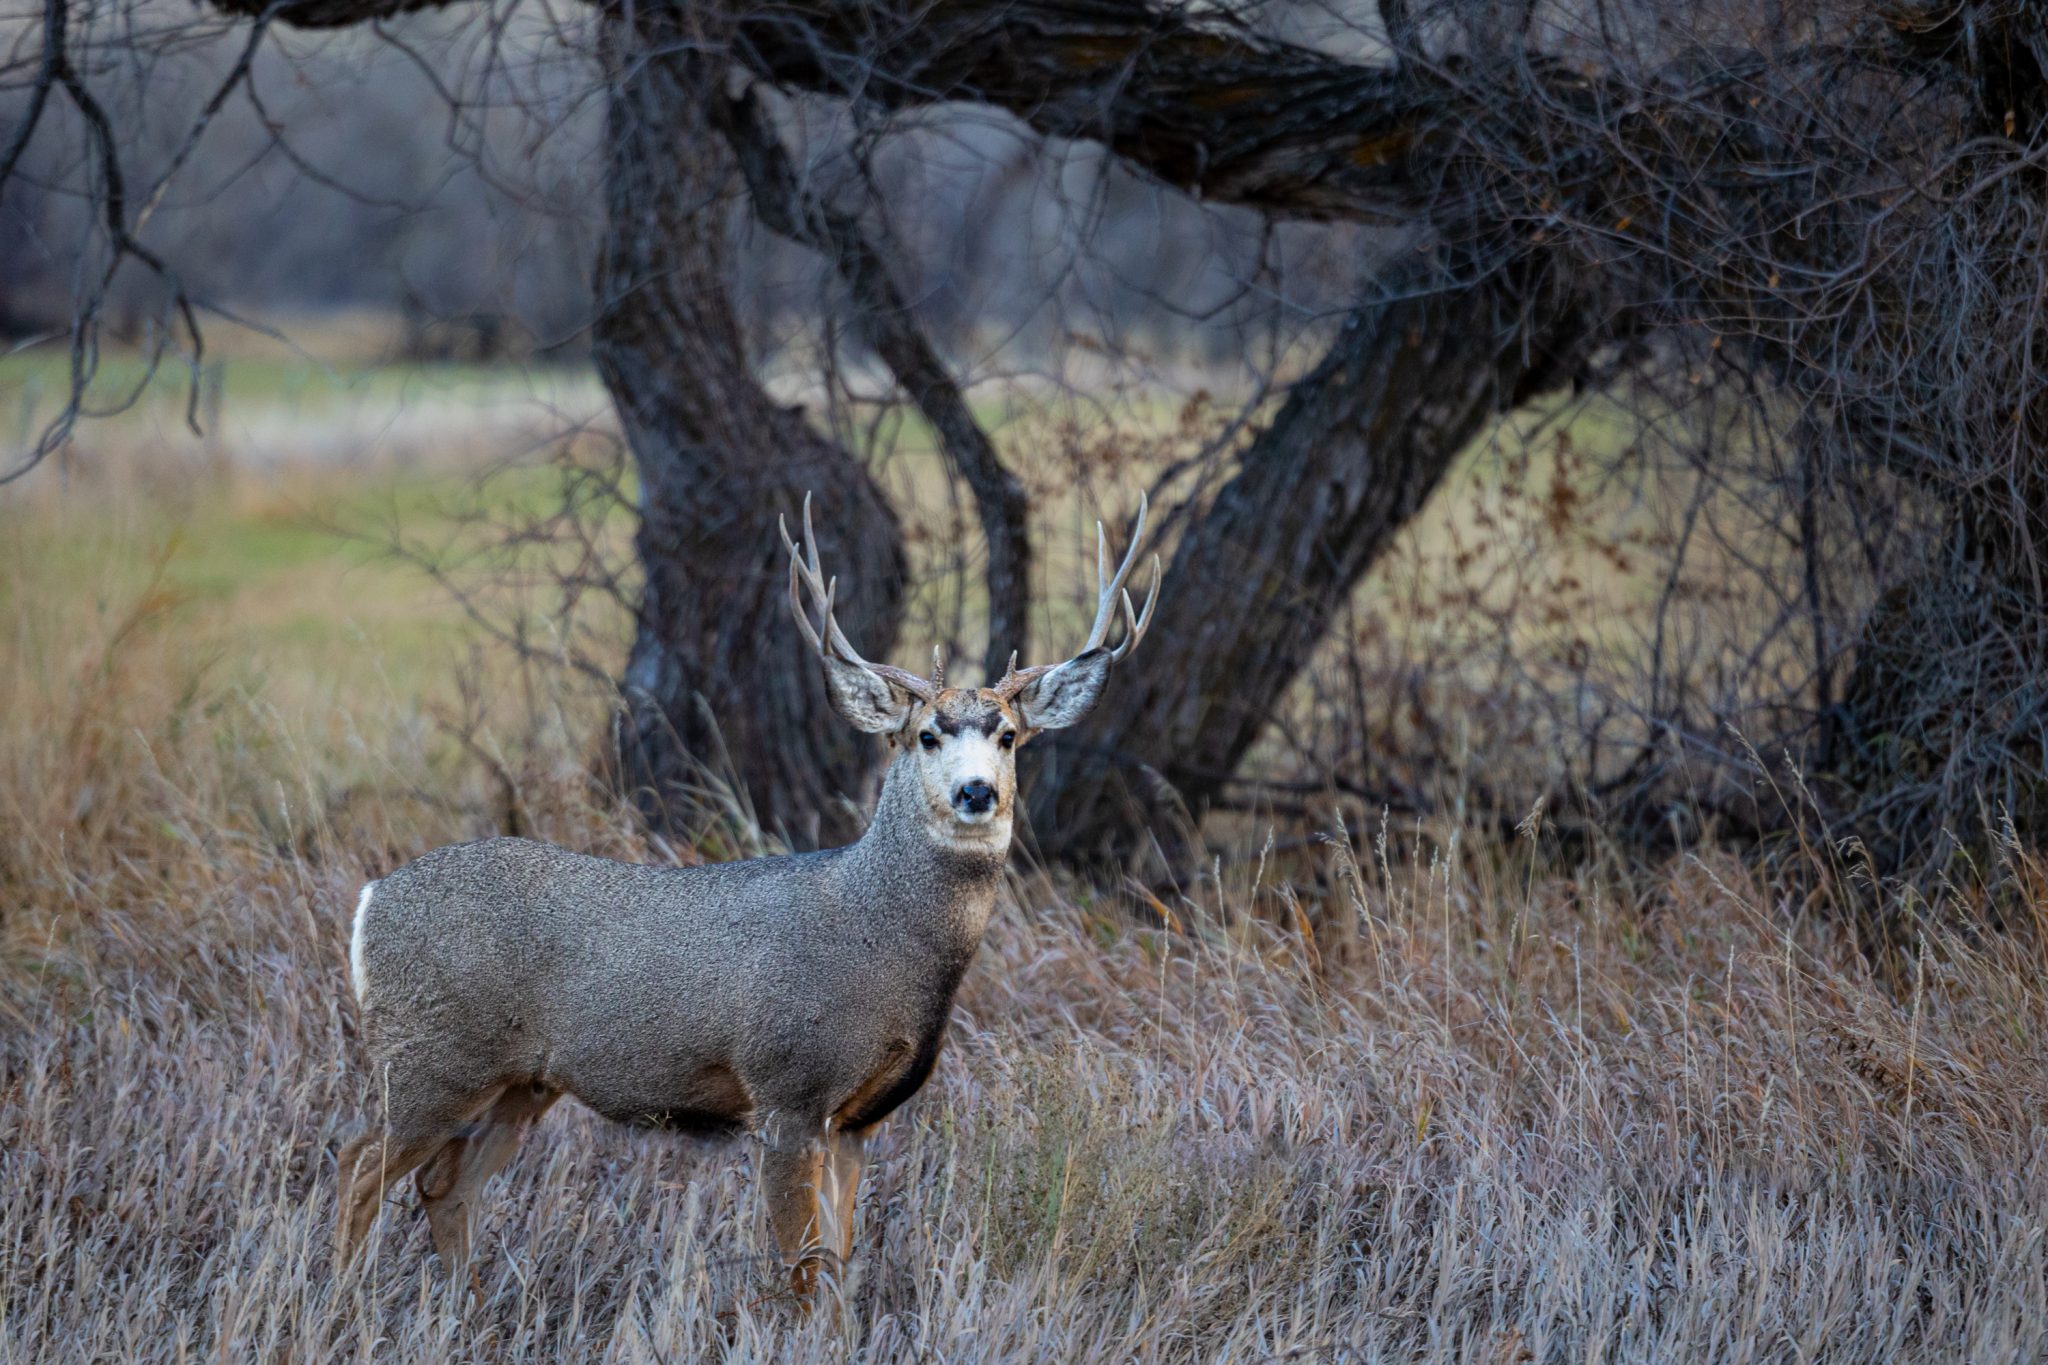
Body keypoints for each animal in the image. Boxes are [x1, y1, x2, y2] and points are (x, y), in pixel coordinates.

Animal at [344, 491, 1163, 1293]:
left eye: (1009, 736)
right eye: (926, 734)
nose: (976, 792)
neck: (881, 938)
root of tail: (370, 901)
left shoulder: (857, 1119)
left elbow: (838, 1265)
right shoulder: (786, 1087)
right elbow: (800, 1268)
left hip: (521, 1079)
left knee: (443, 1184)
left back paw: (463, 1308)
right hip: (431, 1054)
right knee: (356, 1169)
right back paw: (348, 1298)